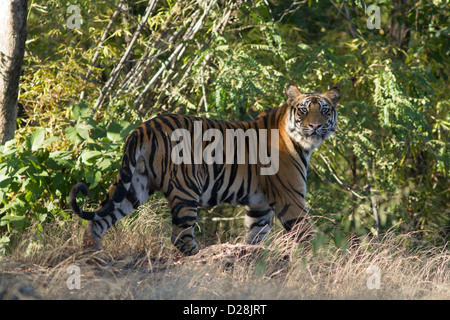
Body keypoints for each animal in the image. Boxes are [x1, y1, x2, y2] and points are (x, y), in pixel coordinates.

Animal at [68, 84, 340, 255]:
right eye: (304, 110)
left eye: (324, 110)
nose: (315, 126)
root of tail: (143, 127)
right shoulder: (290, 198)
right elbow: (307, 235)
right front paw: (319, 264)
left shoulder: (259, 206)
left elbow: (256, 237)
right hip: (186, 189)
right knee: (180, 236)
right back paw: (201, 256)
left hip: (134, 186)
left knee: (98, 220)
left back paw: (93, 257)